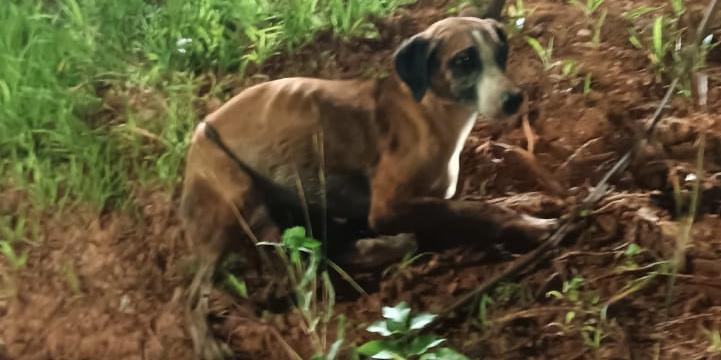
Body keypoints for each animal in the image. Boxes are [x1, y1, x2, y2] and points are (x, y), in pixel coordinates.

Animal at [181, 15, 556, 358]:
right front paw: (530, 225)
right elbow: (477, 210)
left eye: (501, 54)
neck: (428, 112)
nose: (515, 99)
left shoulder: (429, 200)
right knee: (213, 292)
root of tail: (198, 135)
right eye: (464, 60)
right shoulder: (388, 208)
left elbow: (480, 204)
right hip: (241, 197)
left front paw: (532, 201)